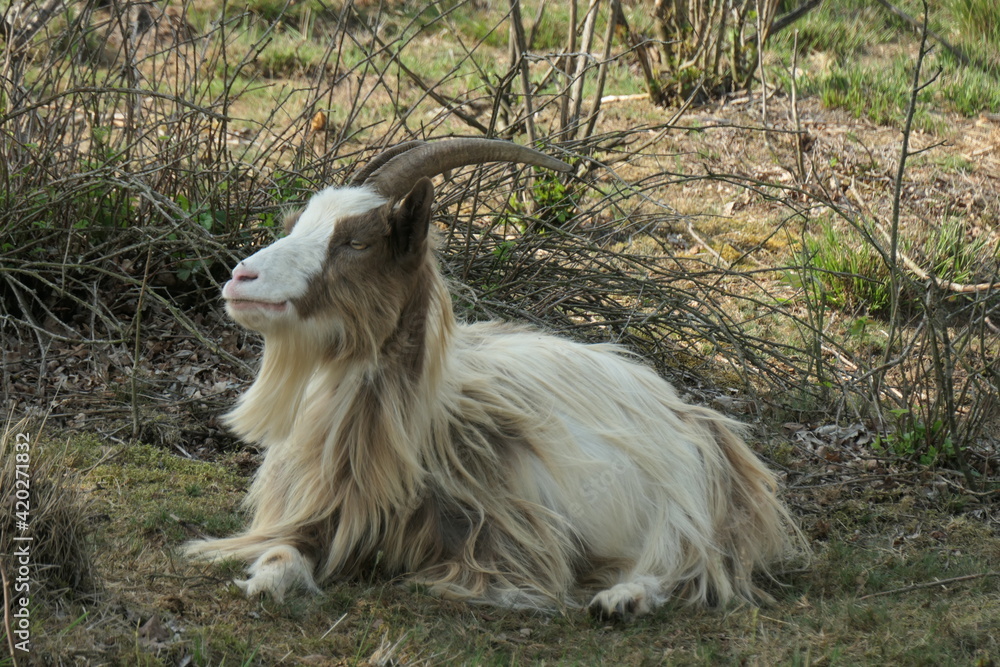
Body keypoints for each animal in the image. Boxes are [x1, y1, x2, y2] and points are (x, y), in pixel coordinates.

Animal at [184, 139, 799, 618]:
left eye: (356, 241)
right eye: (295, 226)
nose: (240, 278)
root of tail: (698, 417)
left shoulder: (515, 536)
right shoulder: (320, 517)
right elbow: (282, 553)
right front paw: (263, 580)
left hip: (688, 499)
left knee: (686, 562)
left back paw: (623, 599)